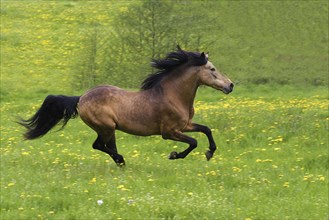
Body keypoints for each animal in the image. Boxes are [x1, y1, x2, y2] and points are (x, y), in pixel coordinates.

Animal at [18, 46, 233, 167]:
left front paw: (210, 153)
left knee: (105, 146)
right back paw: (121, 159)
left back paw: (120, 163)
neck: (173, 96)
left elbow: (206, 130)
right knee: (99, 145)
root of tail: (81, 98)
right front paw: (174, 155)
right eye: (212, 69)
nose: (230, 85)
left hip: (108, 129)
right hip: (105, 127)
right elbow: (193, 142)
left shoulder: (185, 125)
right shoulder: (169, 132)